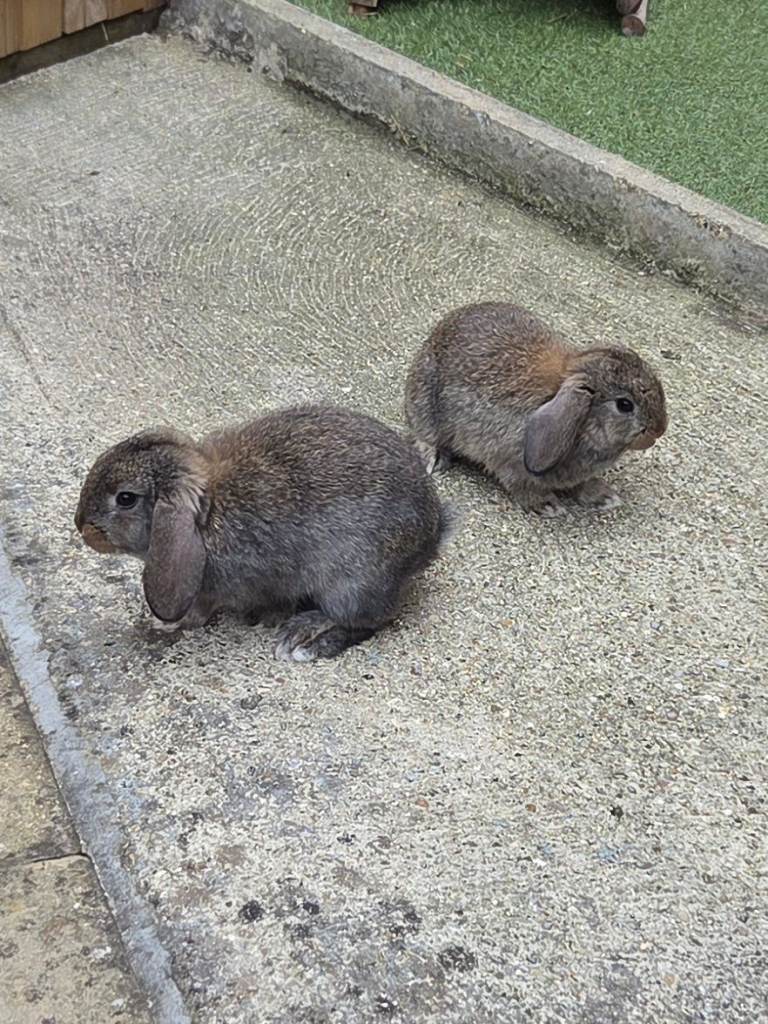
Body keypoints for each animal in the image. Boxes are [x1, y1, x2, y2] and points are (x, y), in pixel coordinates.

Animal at [75, 405, 453, 662]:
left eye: (125, 498)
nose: (82, 527)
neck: (207, 512)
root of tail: (431, 539)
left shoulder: (216, 587)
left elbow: (199, 611)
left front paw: (166, 625)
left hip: (352, 581)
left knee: (366, 621)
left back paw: (302, 640)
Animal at [405, 301, 667, 517]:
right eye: (624, 405)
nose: (660, 429)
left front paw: (604, 497)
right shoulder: (511, 463)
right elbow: (522, 485)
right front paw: (548, 505)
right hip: (424, 402)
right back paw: (434, 459)